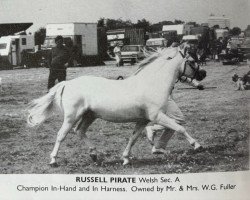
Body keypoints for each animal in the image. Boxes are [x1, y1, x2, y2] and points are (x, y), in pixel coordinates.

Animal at [27, 43, 205, 166]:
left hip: (89, 115)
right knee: (61, 135)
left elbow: (133, 138)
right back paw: (53, 160)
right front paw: (197, 145)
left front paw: (125, 159)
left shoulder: (143, 120)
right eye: (192, 60)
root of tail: (67, 83)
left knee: (80, 131)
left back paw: (94, 155)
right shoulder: (157, 116)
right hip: (72, 116)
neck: (151, 83)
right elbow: (179, 127)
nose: (203, 74)